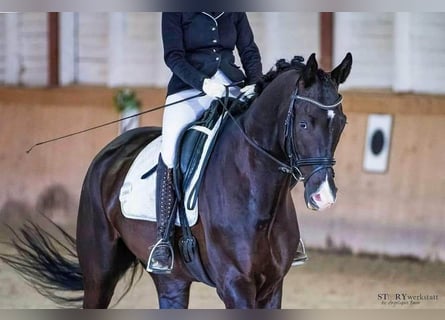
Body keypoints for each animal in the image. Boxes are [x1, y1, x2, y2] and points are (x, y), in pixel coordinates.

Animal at [1, 52, 352, 308]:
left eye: (342, 123)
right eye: (304, 123)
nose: (323, 195)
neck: (256, 191)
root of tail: (112, 151)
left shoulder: (272, 286)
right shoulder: (235, 285)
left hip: (171, 280)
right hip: (98, 272)